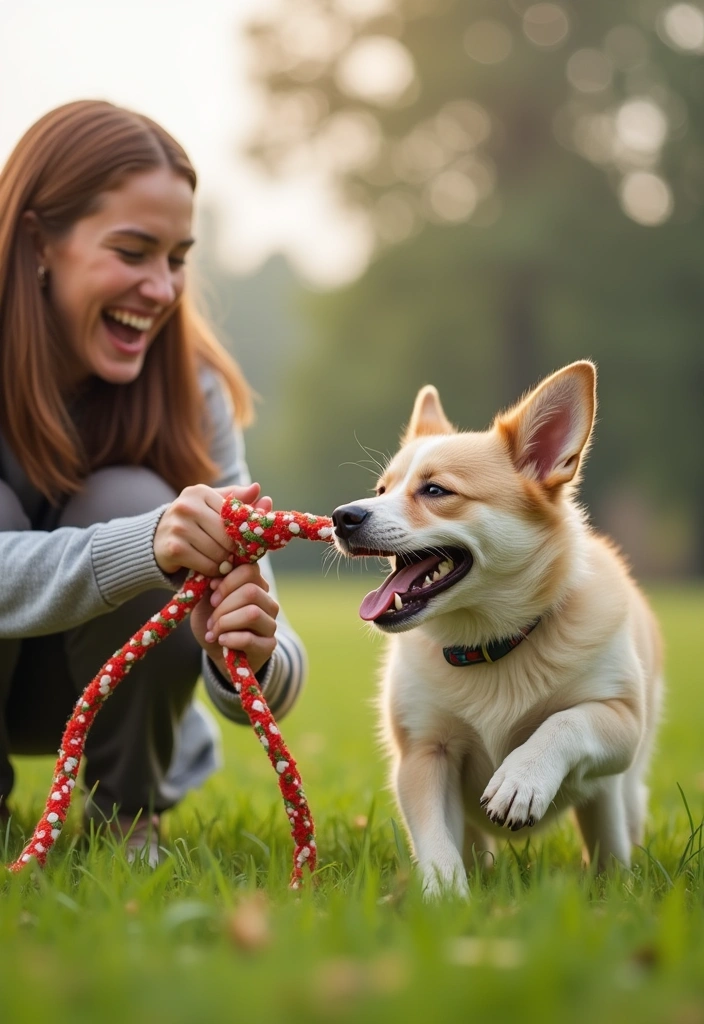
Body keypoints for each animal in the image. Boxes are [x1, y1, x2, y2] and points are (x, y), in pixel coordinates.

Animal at [333, 362, 663, 897]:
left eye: (435, 491)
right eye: (382, 490)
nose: (342, 517)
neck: (490, 644)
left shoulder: (619, 719)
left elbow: (564, 722)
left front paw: (522, 778)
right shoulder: (425, 753)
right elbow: (435, 840)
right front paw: (445, 897)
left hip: (621, 784)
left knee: (611, 829)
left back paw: (616, 887)